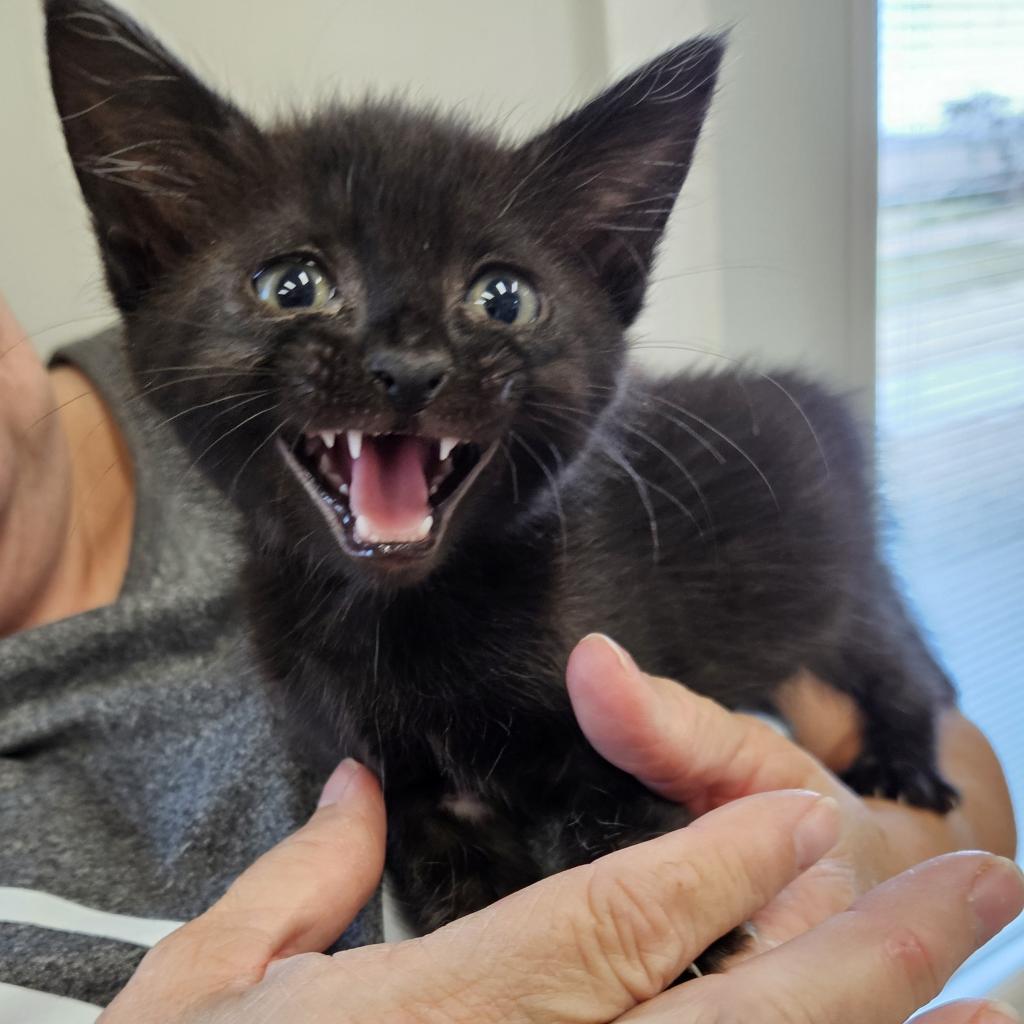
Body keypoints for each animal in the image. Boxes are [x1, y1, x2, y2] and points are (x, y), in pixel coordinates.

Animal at [46, 0, 958, 958]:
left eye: (503, 298)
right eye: (291, 284)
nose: (409, 367)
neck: (409, 628)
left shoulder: (620, 704)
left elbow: (621, 827)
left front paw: (701, 951)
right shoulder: (403, 787)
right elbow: (464, 888)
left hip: (841, 575)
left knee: (898, 656)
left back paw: (902, 757)